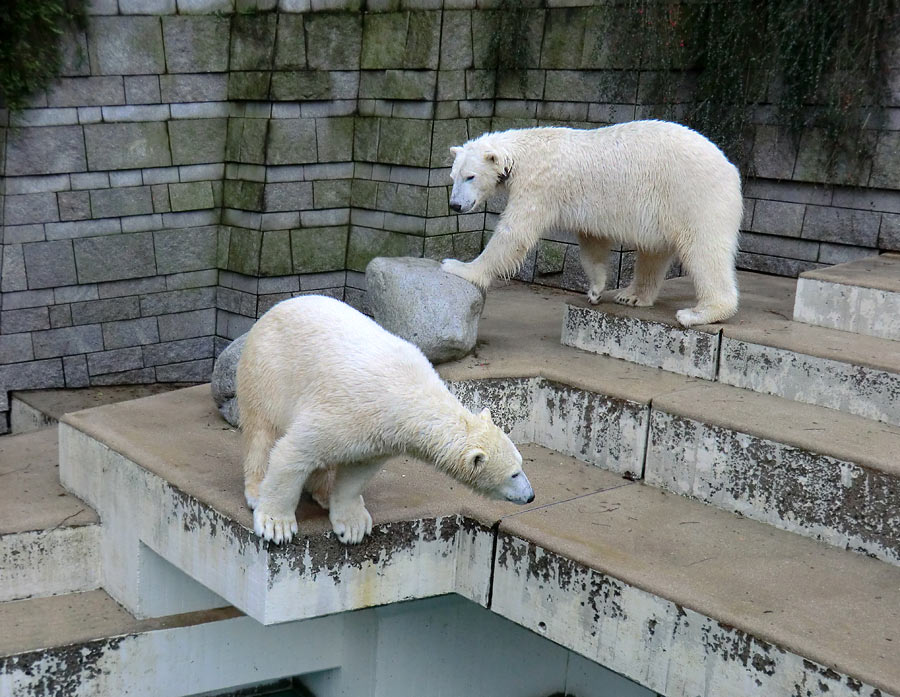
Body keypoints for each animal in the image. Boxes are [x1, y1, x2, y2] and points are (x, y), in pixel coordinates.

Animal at [237, 294, 536, 544]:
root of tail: (274, 309)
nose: (531, 495)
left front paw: (353, 526)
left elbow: (357, 471)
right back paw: (256, 490)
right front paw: (277, 525)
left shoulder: (378, 435)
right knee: (263, 431)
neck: (409, 396)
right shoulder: (349, 412)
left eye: (521, 464)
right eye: (514, 473)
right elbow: (294, 452)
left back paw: (323, 492)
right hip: (268, 371)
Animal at [440, 119, 740, 326]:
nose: (455, 205)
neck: (525, 152)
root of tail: (730, 168)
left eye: (470, 176)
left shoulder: (539, 184)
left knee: (703, 251)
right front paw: (596, 290)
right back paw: (631, 295)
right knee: (654, 252)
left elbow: (514, 234)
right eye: (453, 176)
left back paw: (699, 313)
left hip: (693, 195)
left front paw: (459, 267)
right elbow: (591, 242)